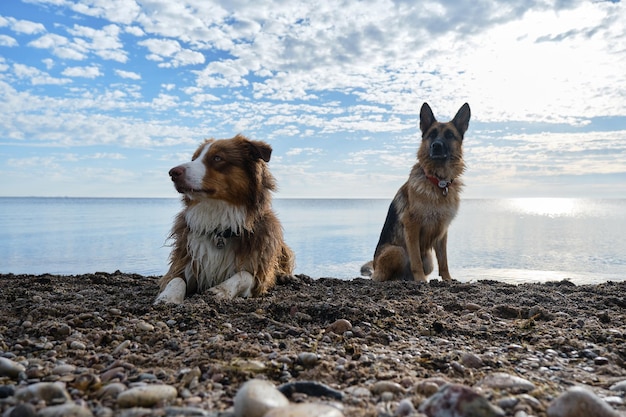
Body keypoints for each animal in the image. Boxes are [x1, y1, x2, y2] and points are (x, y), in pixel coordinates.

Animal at [155, 135, 294, 304]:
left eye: (217, 158)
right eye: (194, 158)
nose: (173, 173)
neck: (219, 227)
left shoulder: (259, 276)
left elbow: (244, 275)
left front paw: (220, 290)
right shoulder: (185, 261)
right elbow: (176, 279)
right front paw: (168, 297)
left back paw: (286, 276)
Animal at [360, 102, 468, 282]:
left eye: (449, 135)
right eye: (432, 134)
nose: (436, 146)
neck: (438, 182)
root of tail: (375, 267)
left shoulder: (442, 232)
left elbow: (444, 260)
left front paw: (448, 279)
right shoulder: (412, 227)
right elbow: (416, 259)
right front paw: (421, 280)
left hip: (428, 260)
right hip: (397, 251)